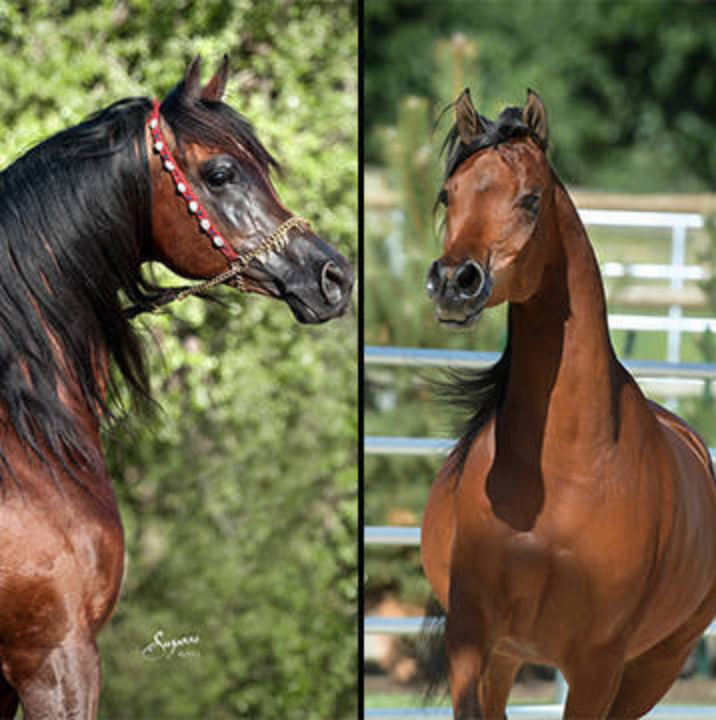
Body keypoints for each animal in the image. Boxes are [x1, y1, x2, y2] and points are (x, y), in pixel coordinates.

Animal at [422, 87, 716, 719]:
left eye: (531, 199)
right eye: (449, 194)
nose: (455, 281)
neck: (564, 475)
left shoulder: (597, 664)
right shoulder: (472, 639)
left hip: (656, 666)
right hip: (509, 657)